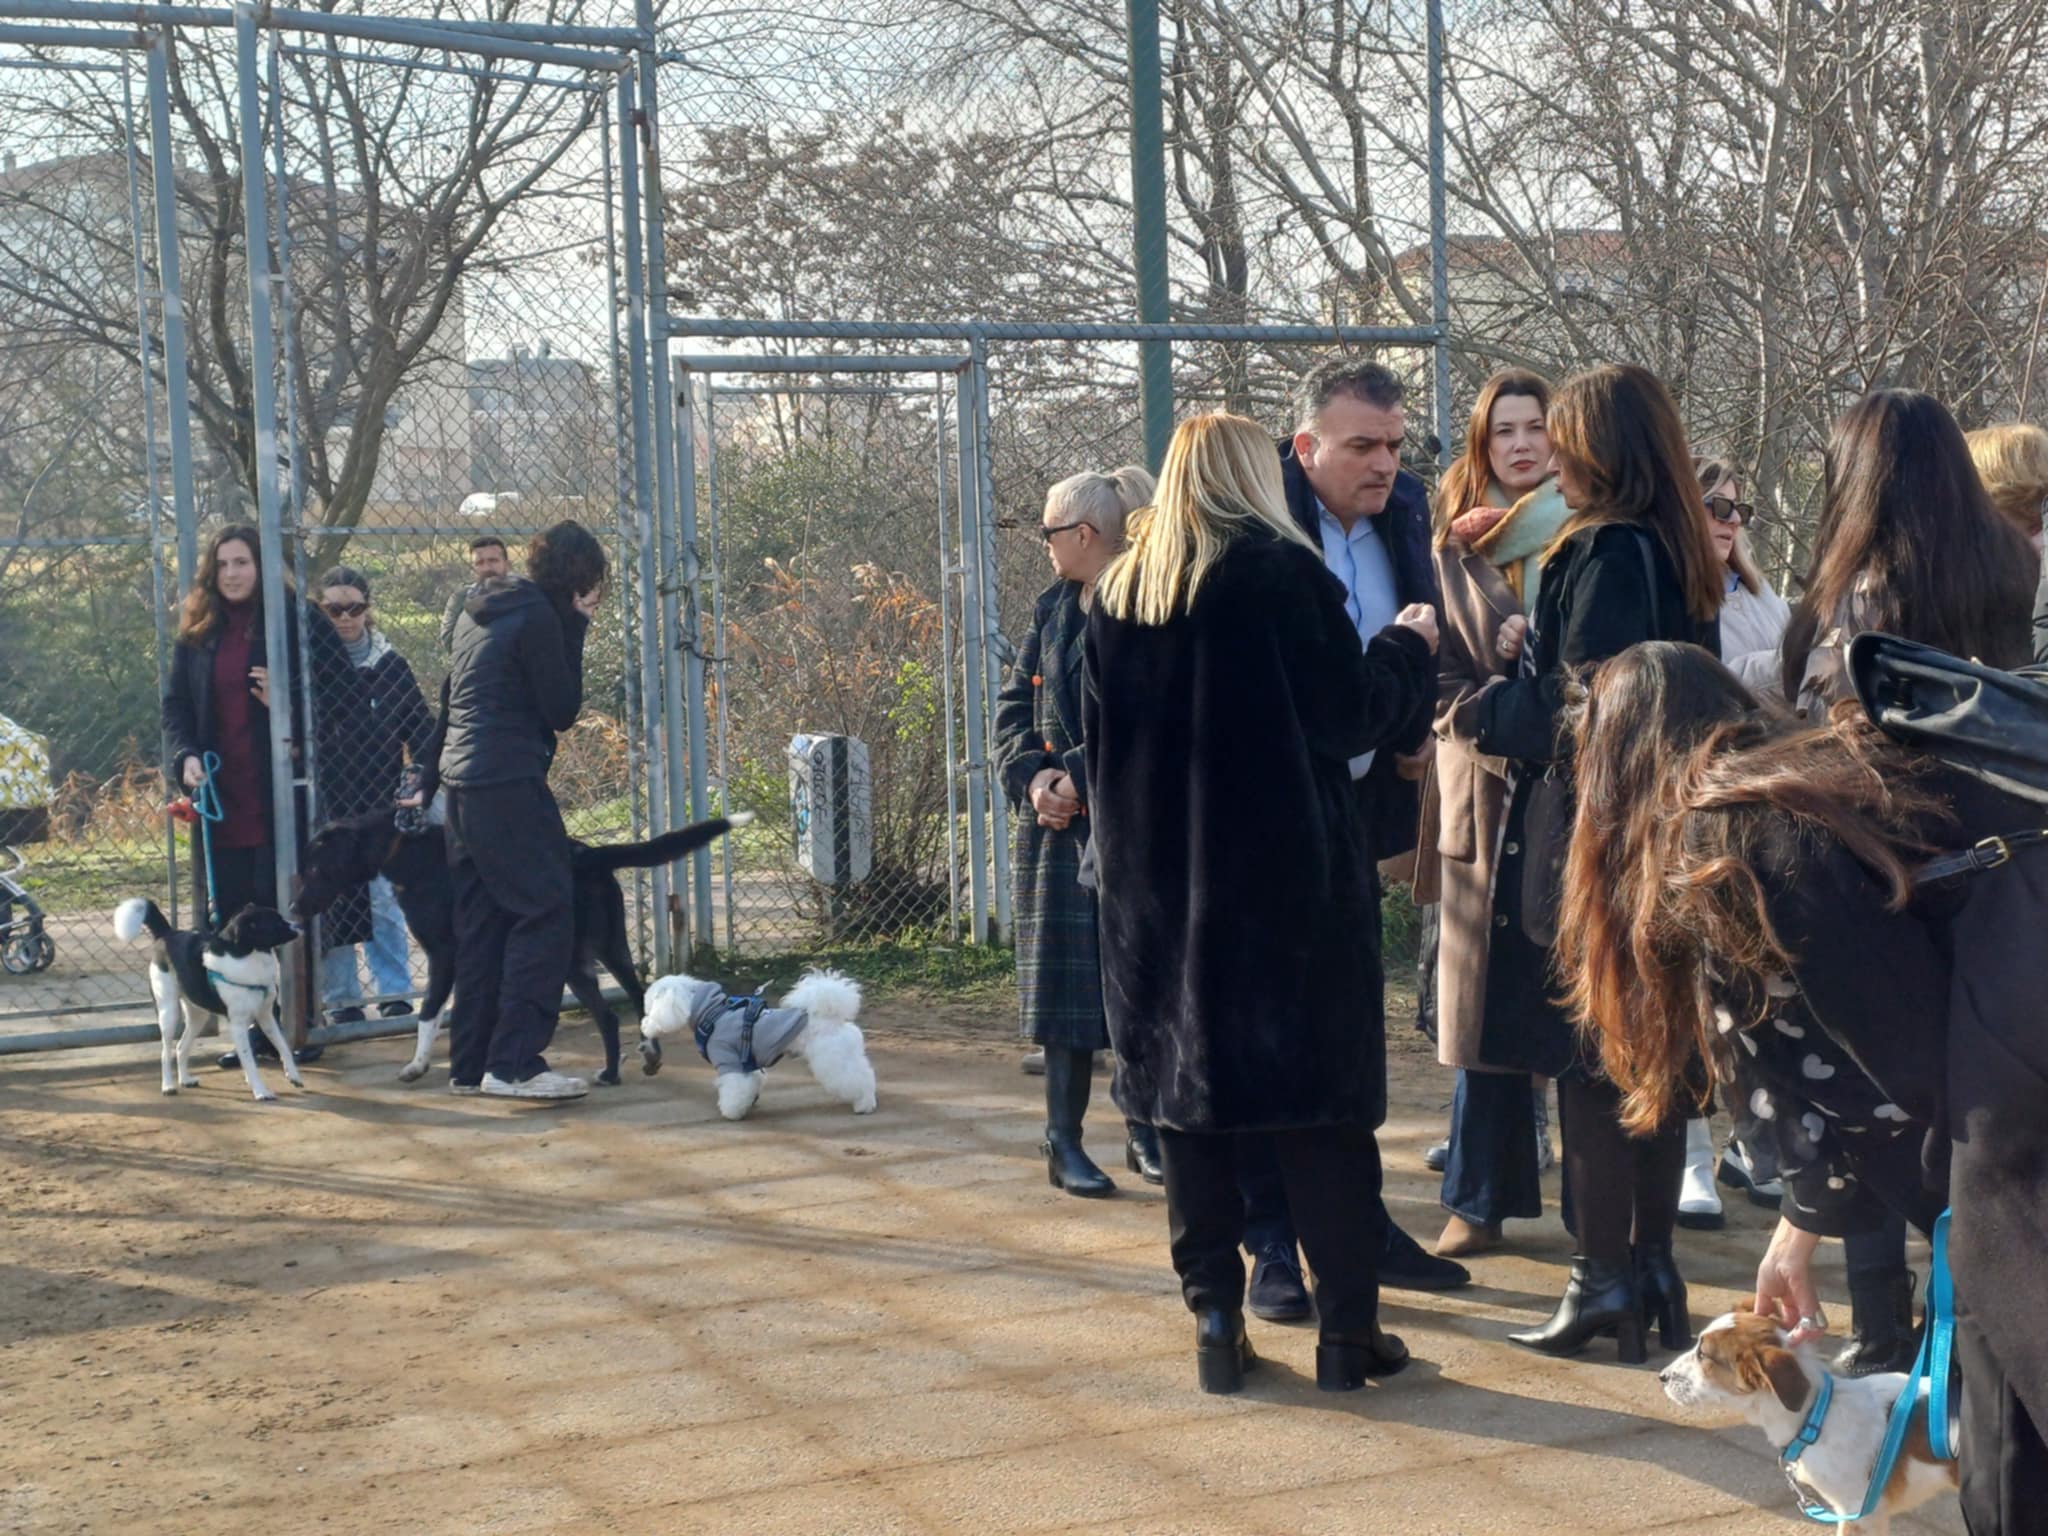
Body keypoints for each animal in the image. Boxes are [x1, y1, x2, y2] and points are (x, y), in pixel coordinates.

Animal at [117, 901, 307, 1105]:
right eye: (276, 922)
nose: (301, 925)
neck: (248, 955)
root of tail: (167, 934)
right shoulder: (238, 1025)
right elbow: (249, 1061)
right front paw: (260, 1091)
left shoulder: (267, 1017)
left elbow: (283, 1047)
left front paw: (293, 1076)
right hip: (169, 1013)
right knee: (165, 1052)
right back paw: (168, 1086)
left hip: (198, 1016)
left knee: (181, 1047)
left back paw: (185, 1080)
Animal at [292, 811, 749, 1089]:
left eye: (314, 868)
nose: (293, 911)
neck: (406, 852)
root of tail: (590, 853)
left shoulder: (445, 956)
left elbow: (428, 1014)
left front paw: (419, 1066)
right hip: (590, 953)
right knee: (619, 1007)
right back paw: (619, 1068)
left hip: (584, 950)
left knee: (629, 1000)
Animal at [643, 966, 876, 1122]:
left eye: (652, 1003)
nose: (644, 1024)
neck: (712, 1015)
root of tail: (833, 1019)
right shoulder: (747, 1063)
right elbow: (752, 1082)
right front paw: (747, 1104)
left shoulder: (729, 1062)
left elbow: (734, 1088)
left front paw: (731, 1112)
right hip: (846, 1056)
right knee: (865, 1075)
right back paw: (868, 1102)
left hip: (831, 1060)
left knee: (856, 1081)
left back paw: (863, 1105)